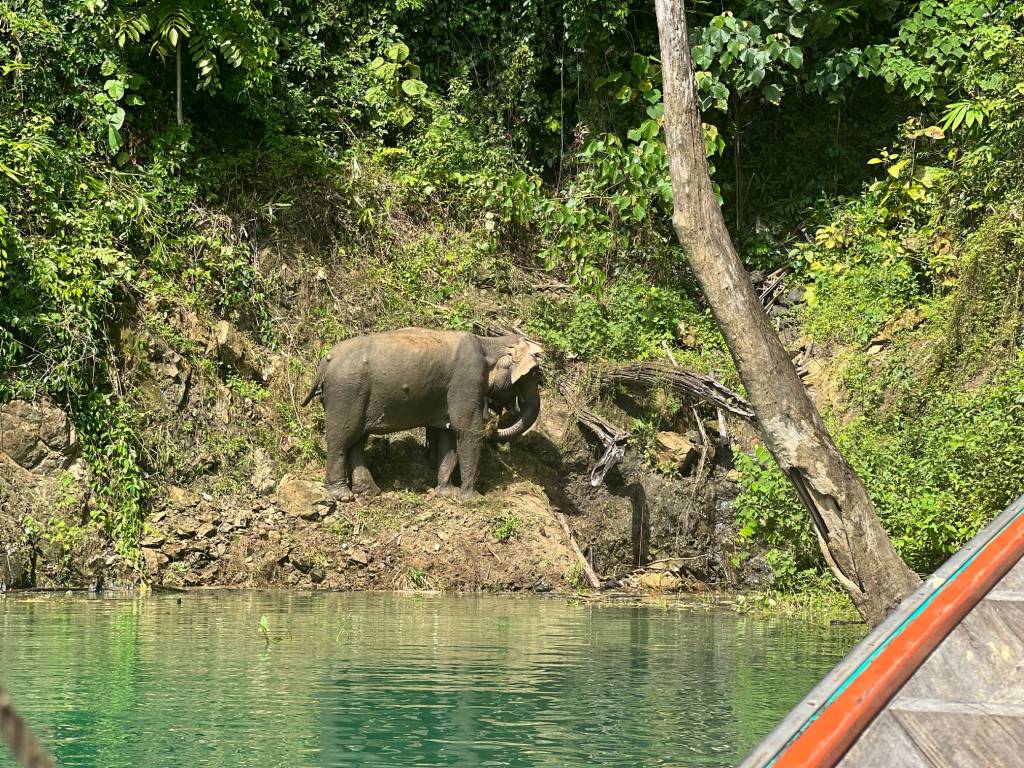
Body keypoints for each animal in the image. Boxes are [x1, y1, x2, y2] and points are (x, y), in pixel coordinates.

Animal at [301, 327, 543, 500]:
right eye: (532, 375)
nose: (495, 421)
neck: (488, 342)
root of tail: (325, 361)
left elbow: (448, 435)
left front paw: (447, 493)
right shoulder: (466, 381)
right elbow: (467, 430)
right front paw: (473, 498)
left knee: (357, 440)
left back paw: (369, 492)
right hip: (346, 393)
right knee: (341, 438)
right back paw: (342, 495)